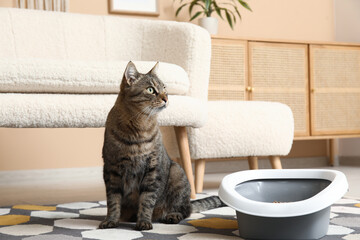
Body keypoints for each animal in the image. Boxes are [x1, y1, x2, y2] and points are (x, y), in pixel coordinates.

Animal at [100, 61, 224, 231]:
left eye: (165, 88)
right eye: (151, 90)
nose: (166, 98)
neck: (139, 127)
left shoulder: (153, 169)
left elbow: (147, 200)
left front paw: (144, 221)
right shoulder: (111, 169)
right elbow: (113, 201)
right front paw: (111, 220)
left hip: (177, 172)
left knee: (185, 210)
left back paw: (172, 215)